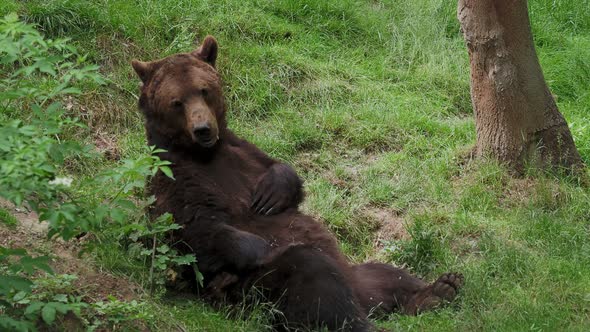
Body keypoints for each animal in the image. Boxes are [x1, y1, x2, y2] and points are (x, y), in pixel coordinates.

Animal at [132, 36, 464, 332]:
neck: (203, 153)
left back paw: (439, 289)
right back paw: (366, 321)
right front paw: (260, 246)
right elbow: (194, 230)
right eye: (177, 101)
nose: (203, 128)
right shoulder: (175, 179)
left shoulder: (242, 151)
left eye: (204, 90)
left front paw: (271, 194)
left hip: (357, 276)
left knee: (386, 274)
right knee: (313, 276)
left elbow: (281, 172)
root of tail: (363, 300)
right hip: (260, 292)